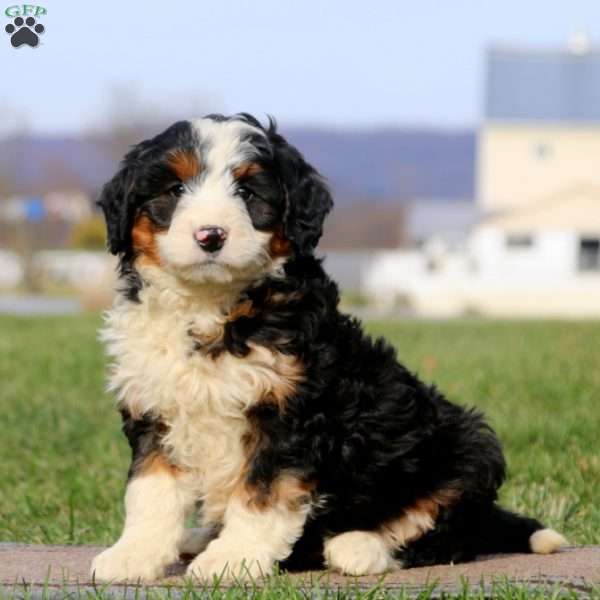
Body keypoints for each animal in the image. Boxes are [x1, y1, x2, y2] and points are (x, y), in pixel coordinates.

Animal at [90, 112, 568, 580]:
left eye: (247, 192)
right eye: (174, 190)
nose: (211, 235)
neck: (212, 307)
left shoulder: (287, 412)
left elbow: (262, 493)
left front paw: (232, 559)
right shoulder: (155, 407)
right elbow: (150, 492)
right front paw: (133, 555)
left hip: (468, 449)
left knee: (440, 533)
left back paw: (359, 547)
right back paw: (199, 538)